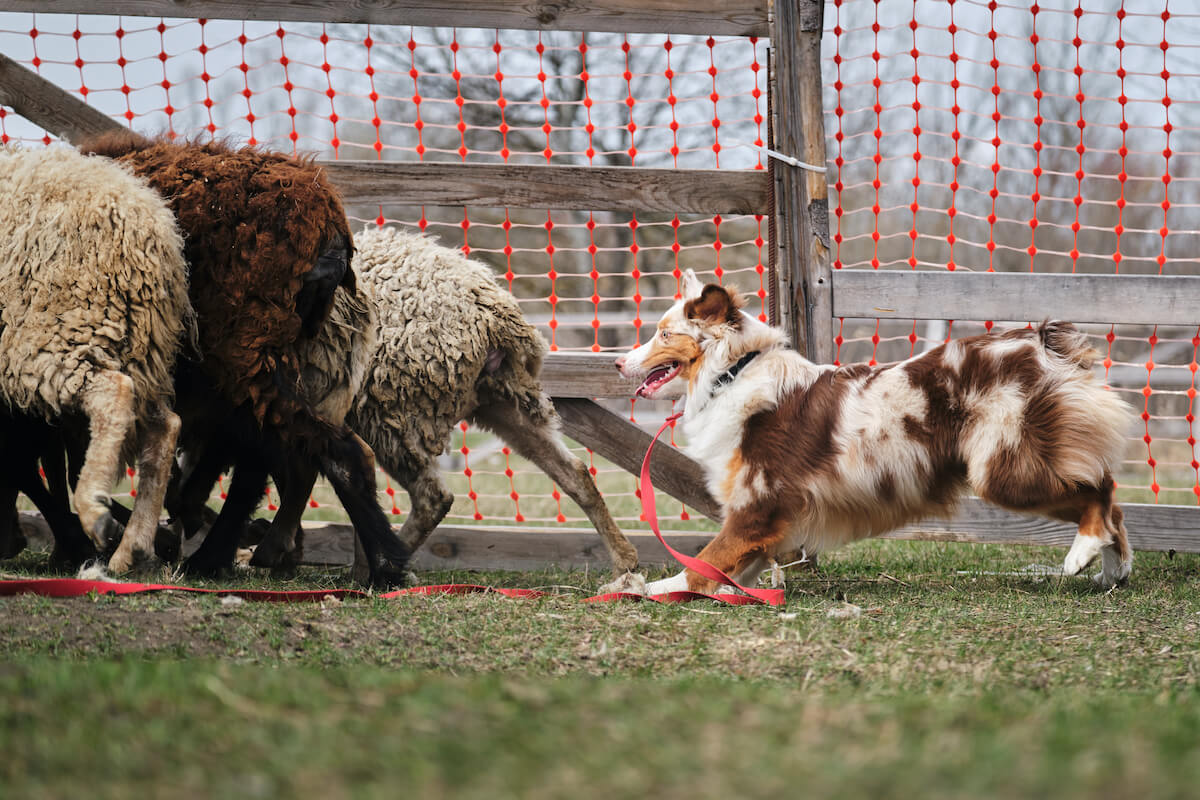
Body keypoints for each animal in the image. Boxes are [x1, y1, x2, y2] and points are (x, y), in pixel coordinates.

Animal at [0, 146, 194, 573]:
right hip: (141, 346)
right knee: (164, 427)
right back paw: (132, 549)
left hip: (59, 330)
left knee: (114, 395)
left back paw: (96, 514)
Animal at [619, 272, 1132, 592]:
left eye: (664, 334)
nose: (619, 362)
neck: (733, 373)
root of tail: (1039, 343)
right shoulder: (769, 519)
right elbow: (732, 566)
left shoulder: (757, 504)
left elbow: (705, 560)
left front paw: (652, 588)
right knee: (1113, 505)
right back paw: (1112, 572)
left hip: (1003, 470)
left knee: (1100, 490)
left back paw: (1082, 555)